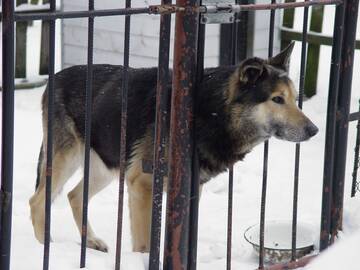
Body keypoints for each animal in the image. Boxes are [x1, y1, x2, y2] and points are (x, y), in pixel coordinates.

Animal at [29, 42, 320, 253]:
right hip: (66, 160)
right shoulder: (142, 185)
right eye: (277, 99)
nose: (314, 130)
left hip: (105, 167)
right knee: (37, 201)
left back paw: (91, 241)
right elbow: (144, 246)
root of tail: (54, 78)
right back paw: (44, 248)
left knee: (74, 196)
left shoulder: (188, 192)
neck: (209, 112)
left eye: (295, 99)